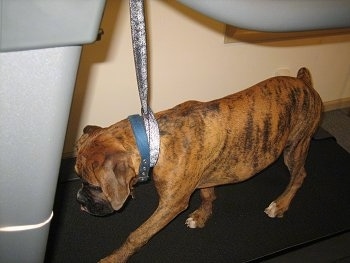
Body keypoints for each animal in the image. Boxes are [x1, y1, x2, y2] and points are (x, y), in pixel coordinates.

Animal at [76, 67, 322, 262]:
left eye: (96, 186)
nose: (79, 200)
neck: (153, 138)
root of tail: (304, 82)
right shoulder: (204, 176)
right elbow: (207, 195)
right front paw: (202, 216)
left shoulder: (170, 206)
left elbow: (137, 236)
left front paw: (114, 258)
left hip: (296, 146)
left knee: (299, 176)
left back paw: (280, 204)